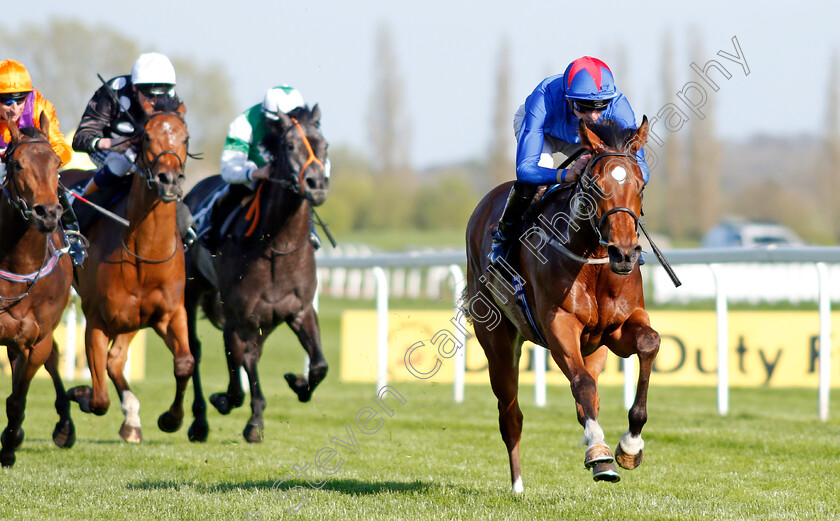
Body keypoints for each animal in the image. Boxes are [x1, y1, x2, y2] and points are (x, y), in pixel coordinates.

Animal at [62, 98, 194, 442]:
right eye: (146, 136)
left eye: (185, 137)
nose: (169, 179)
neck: (145, 256)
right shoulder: (96, 321)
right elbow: (98, 399)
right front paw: (78, 393)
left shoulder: (169, 314)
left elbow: (185, 363)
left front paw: (171, 419)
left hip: (132, 321)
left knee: (116, 360)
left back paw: (132, 421)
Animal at [185, 103, 330, 440]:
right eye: (289, 146)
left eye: (325, 146)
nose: (317, 184)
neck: (277, 246)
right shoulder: (239, 317)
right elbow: (238, 376)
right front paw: (232, 406)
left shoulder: (299, 309)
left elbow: (319, 365)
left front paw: (298, 383)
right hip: (191, 291)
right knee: (195, 350)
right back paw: (199, 421)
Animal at [462, 117, 660, 488]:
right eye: (596, 185)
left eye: (641, 185)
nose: (625, 253)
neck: (593, 258)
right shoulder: (559, 325)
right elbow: (581, 384)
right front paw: (600, 451)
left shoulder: (616, 329)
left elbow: (648, 343)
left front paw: (630, 445)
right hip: (497, 340)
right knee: (511, 414)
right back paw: (518, 485)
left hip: (593, 349)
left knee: (589, 397)